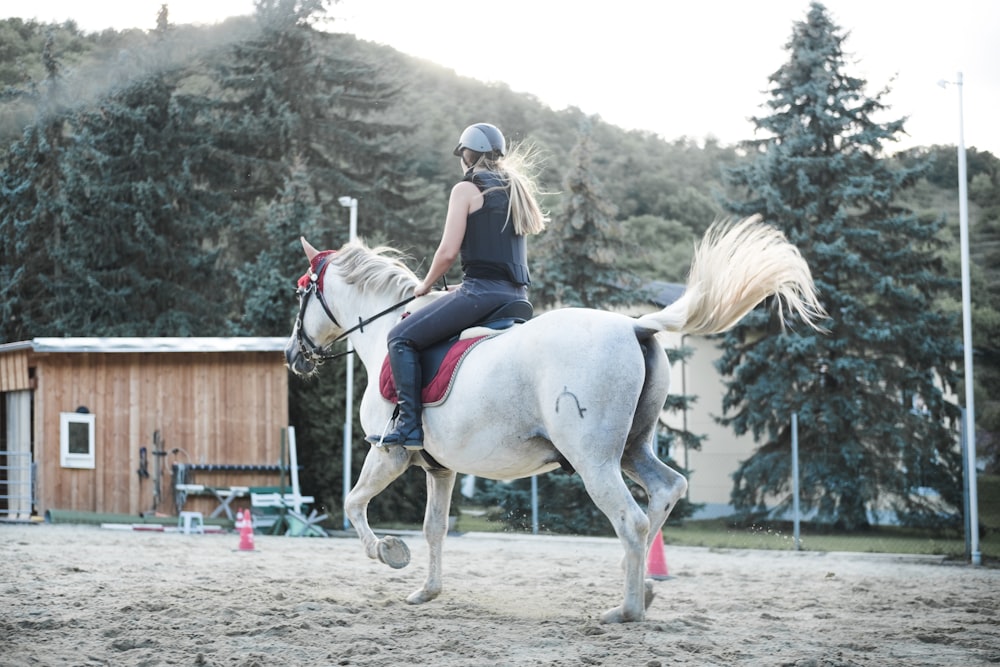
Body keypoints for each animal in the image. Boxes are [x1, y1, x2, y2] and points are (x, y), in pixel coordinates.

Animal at [286, 217, 824, 624]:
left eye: (301, 294)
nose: (295, 356)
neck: (384, 335)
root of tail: (635, 324)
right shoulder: (440, 469)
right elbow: (434, 528)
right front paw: (427, 592)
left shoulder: (389, 451)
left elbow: (354, 503)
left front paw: (388, 553)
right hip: (632, 450)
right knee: (665, 492)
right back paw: (643, 587)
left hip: (595, 461)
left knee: (631, 519)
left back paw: (626, 611)